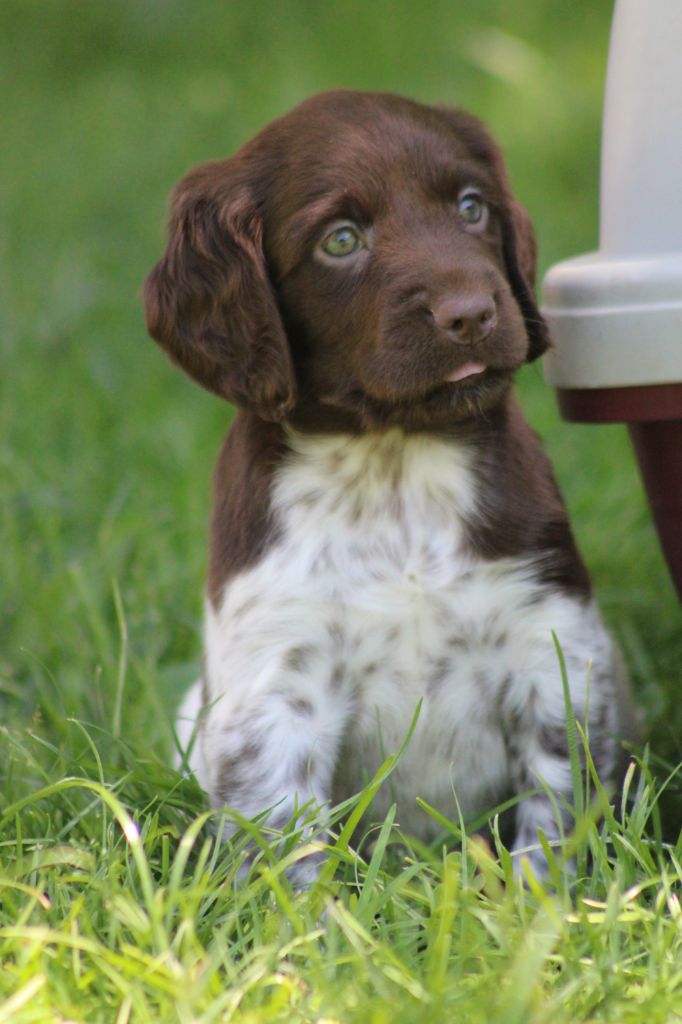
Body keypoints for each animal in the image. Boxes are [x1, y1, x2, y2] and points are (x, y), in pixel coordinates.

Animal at [143, 92, 630, 884]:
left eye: (471, 207)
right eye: (341, 241)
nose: (472, 314)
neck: (394, 465)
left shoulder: (552, 646)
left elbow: (557, 811)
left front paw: (541, 902)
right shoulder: (276, 684)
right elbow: (283, 840)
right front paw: (308, 920)